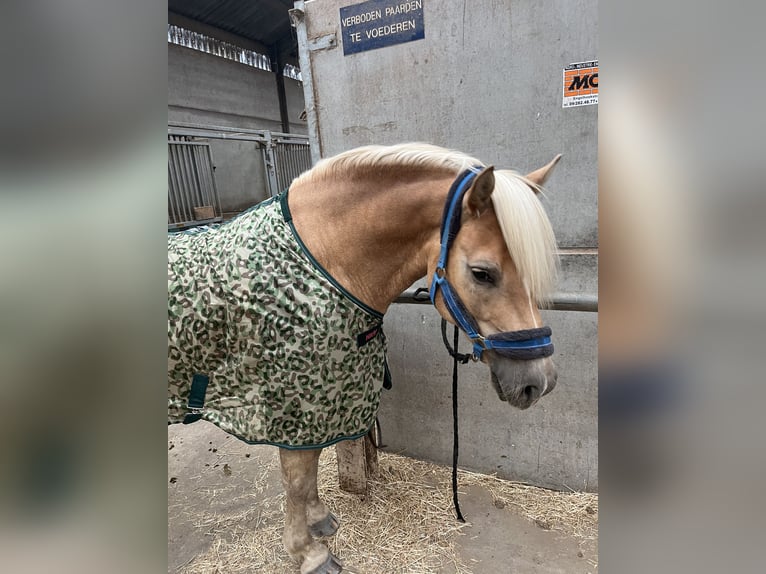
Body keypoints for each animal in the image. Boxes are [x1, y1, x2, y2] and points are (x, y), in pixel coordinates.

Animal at [170, 142, 564, 572]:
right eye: (482, 273)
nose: (539, 382)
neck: (323, 263)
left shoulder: (324, 403)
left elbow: (310, 469)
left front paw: (319, 519)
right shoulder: (291, 408)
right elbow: (296, 478)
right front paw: (308, 552)